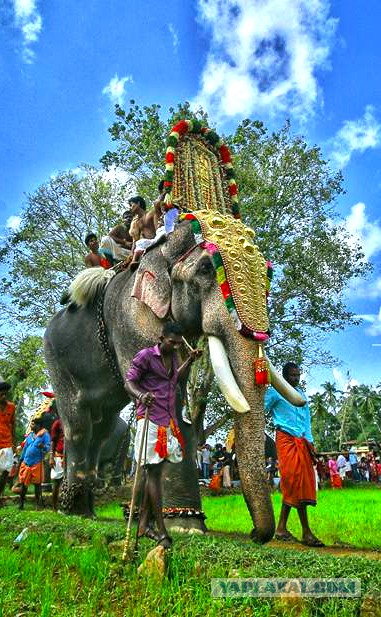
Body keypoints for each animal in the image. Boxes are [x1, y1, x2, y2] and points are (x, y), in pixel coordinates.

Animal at [43, 214, 300, 540]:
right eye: (205, 269)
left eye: (268, 275)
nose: (255, 534)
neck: (165, 247)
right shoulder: (133, 321)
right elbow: (169, 401)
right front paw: (186, 527)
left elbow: (177, 393)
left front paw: (182, 524)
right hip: (56, 361)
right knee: (78, 425)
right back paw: (72, 511)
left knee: (101, 428)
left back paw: (88, 512)